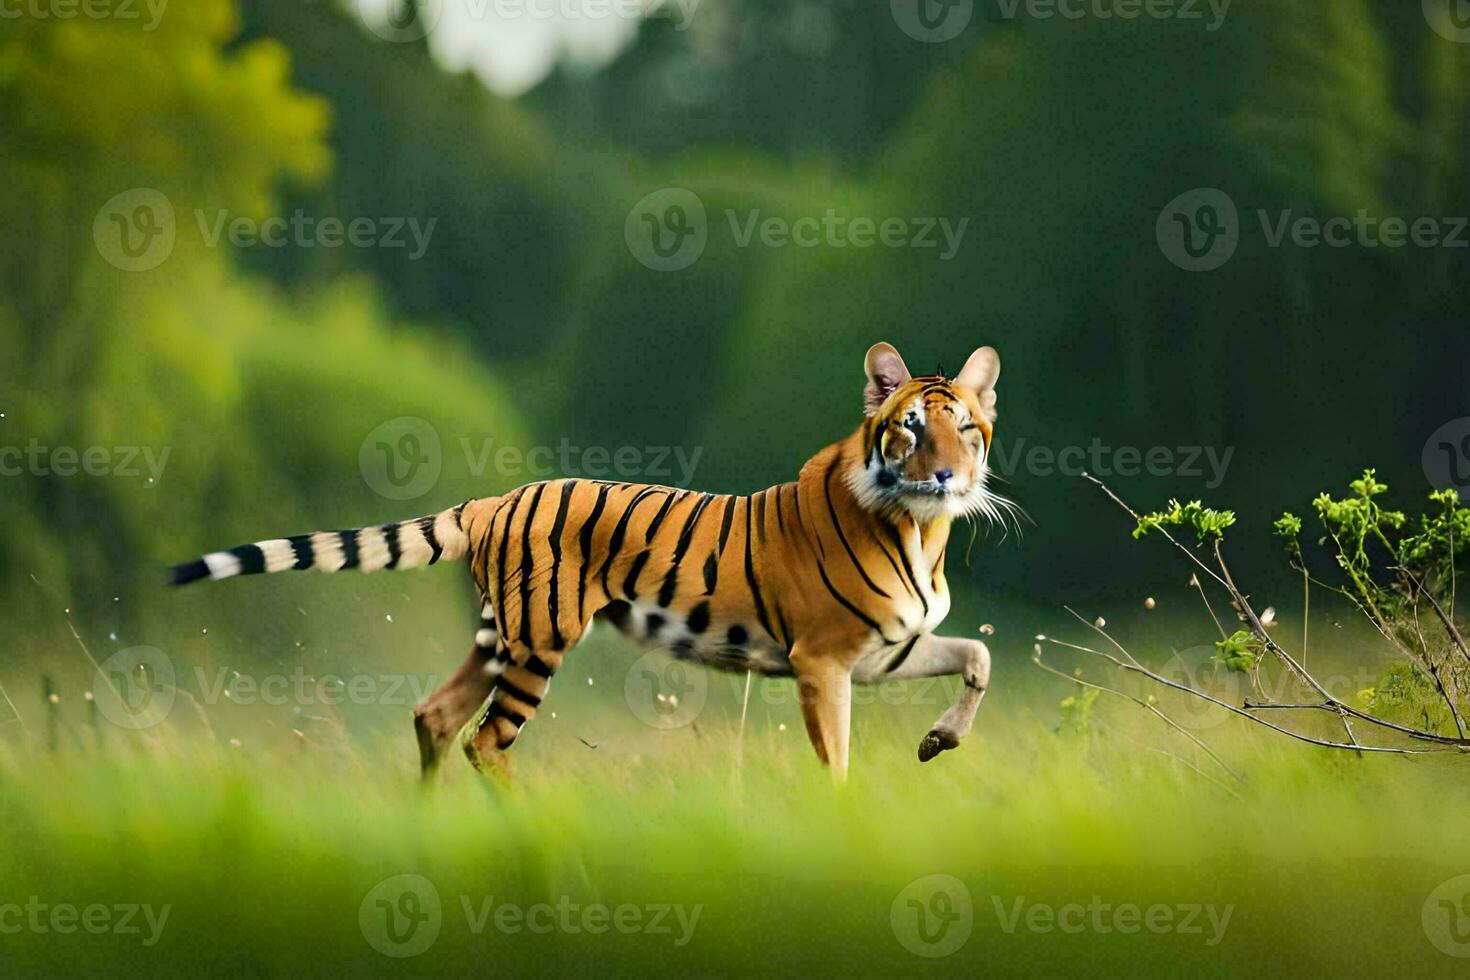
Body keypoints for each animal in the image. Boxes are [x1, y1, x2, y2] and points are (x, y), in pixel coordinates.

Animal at [171, 345, 1011, 781]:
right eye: (908, 428)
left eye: (965, 428)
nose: (946, 477)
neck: (922, 531)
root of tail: (494, 499)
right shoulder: (825, 661)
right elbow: (835, 758)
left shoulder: (882, 651)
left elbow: (979, 656)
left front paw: (939, 741)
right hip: (540, 642)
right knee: (484, 740)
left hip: (498, 638)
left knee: (435, 716)